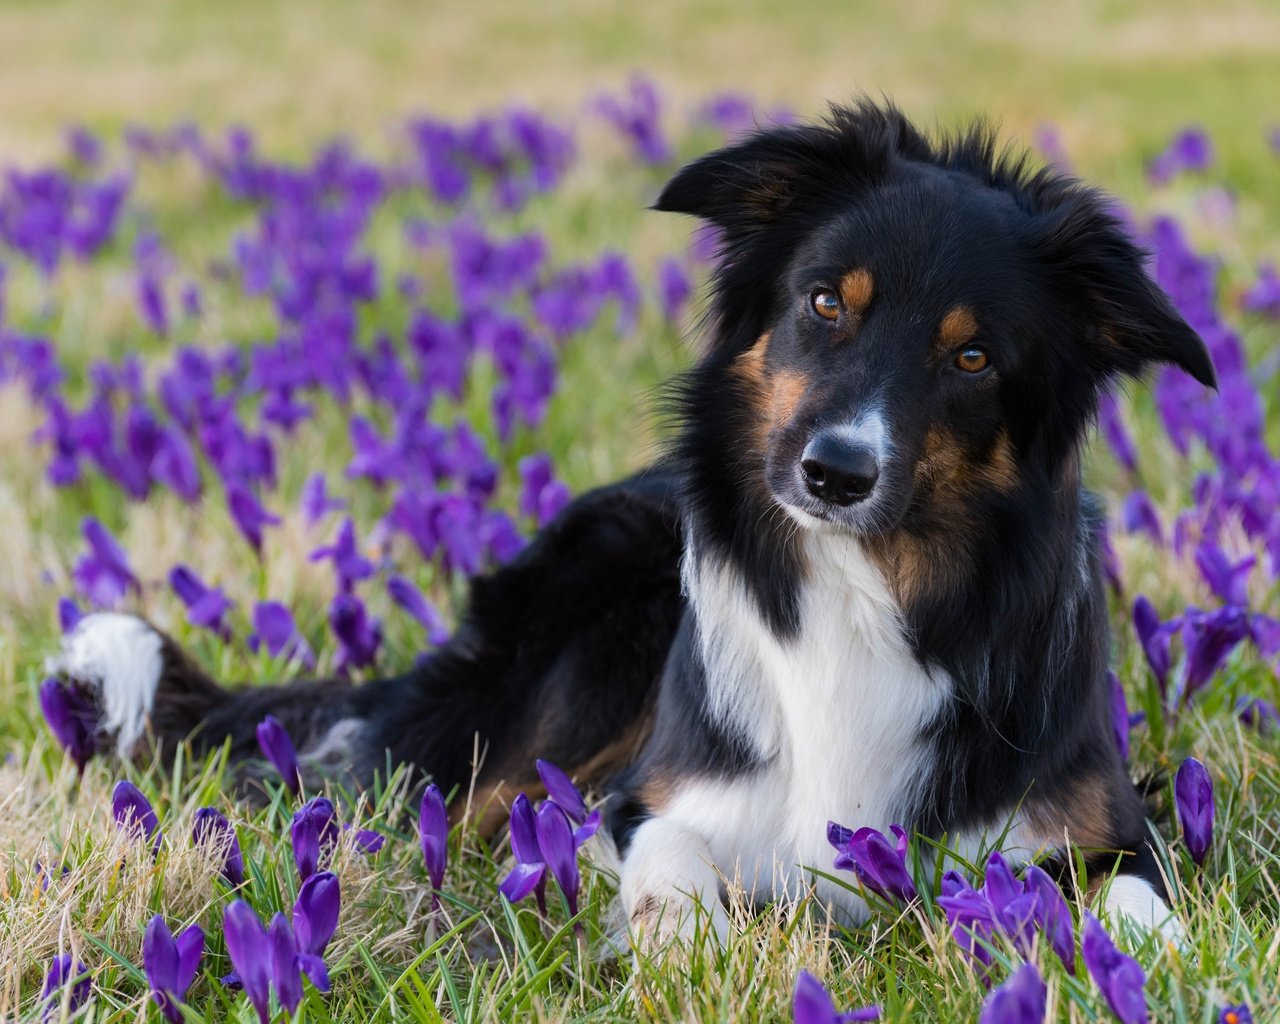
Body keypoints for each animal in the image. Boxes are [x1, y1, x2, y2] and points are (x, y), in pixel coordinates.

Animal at [47, 101, 1208, 942]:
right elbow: (670, 860)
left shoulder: (1100, 828)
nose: (835, 472)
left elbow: (1140, 902)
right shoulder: (661, 794)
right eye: (825, 301)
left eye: (971, 356)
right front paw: (679, 943)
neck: (861, 583)